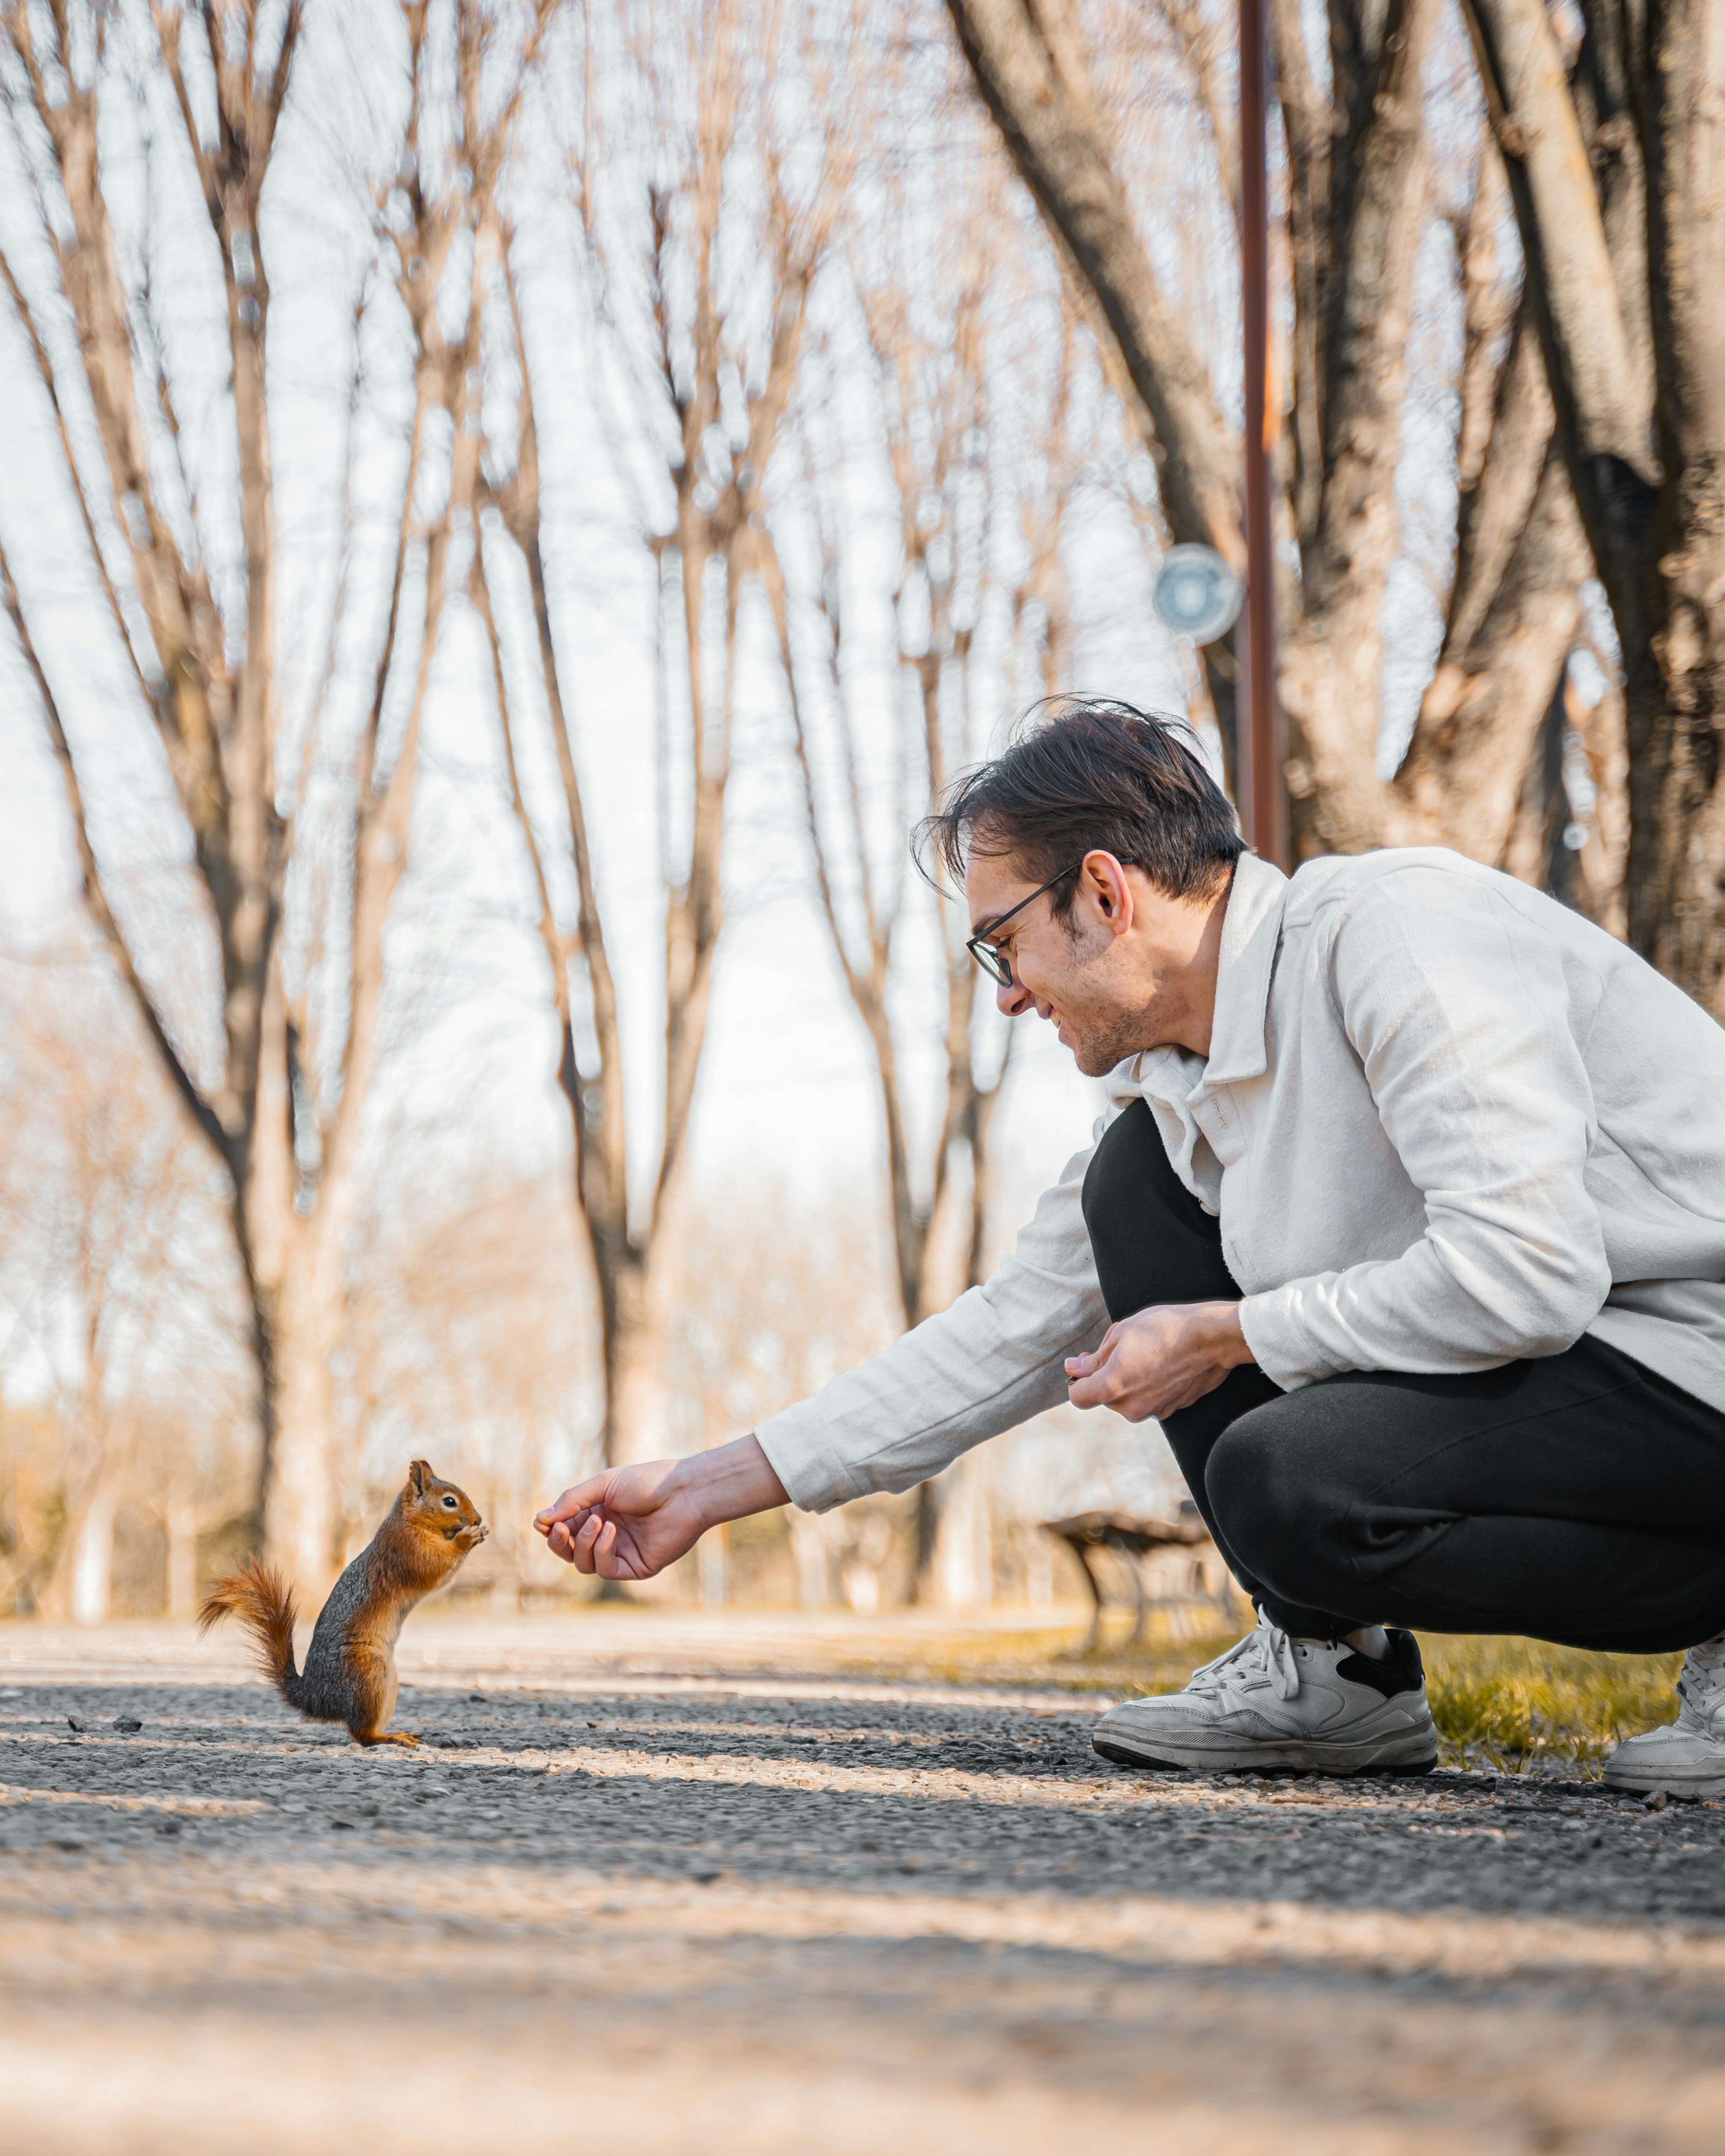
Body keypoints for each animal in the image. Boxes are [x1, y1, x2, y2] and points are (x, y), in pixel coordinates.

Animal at [198, 1459, 488, 1747]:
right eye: (449, 1501)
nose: (478, 1519)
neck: (411, 1520)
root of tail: (315, 1697)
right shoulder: (405, 1548)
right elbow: (433, 1567)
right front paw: (468, 1537)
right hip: (366, 1672)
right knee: (361, 1734)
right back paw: (390, 1737)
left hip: (385, 1680)